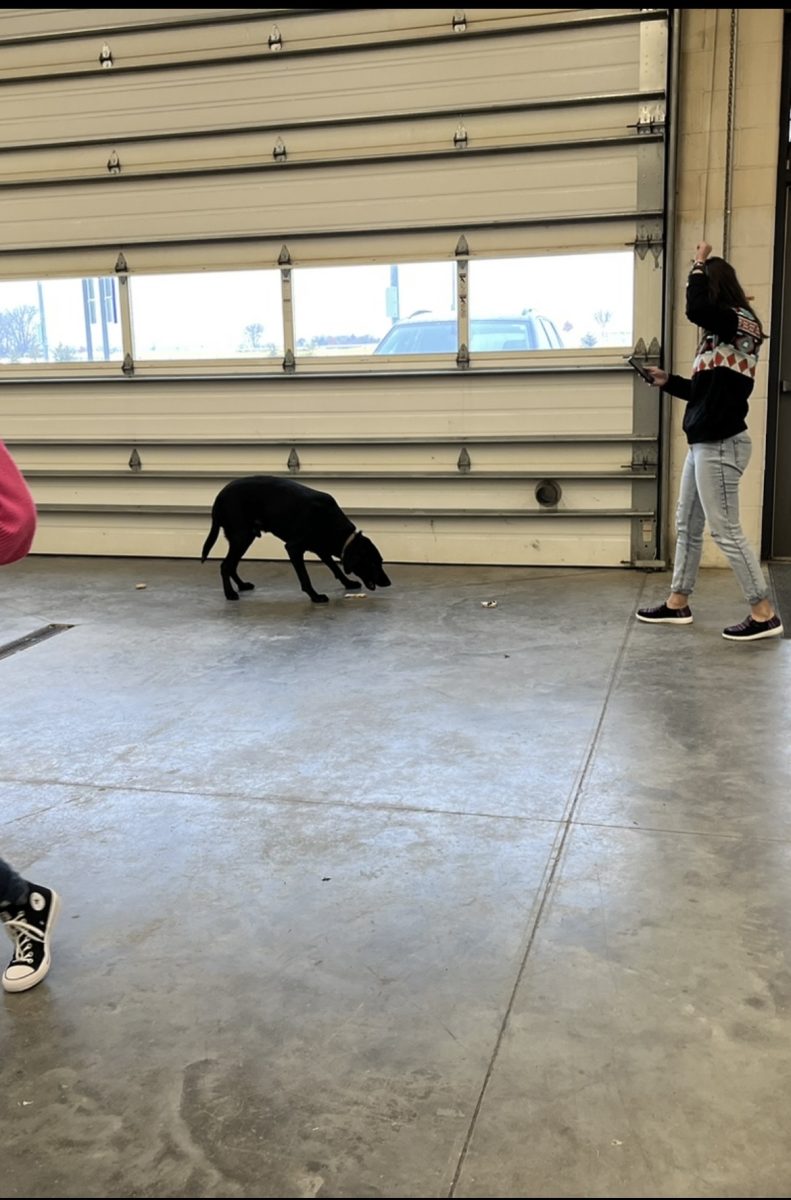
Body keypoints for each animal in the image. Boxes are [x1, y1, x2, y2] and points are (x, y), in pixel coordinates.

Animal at [201, 475, 393, 604]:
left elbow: (335, 568)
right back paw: (230, 594)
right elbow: (305, 577)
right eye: (373, 563)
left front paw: (348, 583)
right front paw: (315, 596)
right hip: (242, 536)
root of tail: (218, 498)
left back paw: (241, 586)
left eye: (380, 561)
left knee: (231, 565)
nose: (388, 582)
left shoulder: (321, 548)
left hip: (244, 538)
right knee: (225, 565)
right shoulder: (293, 548)